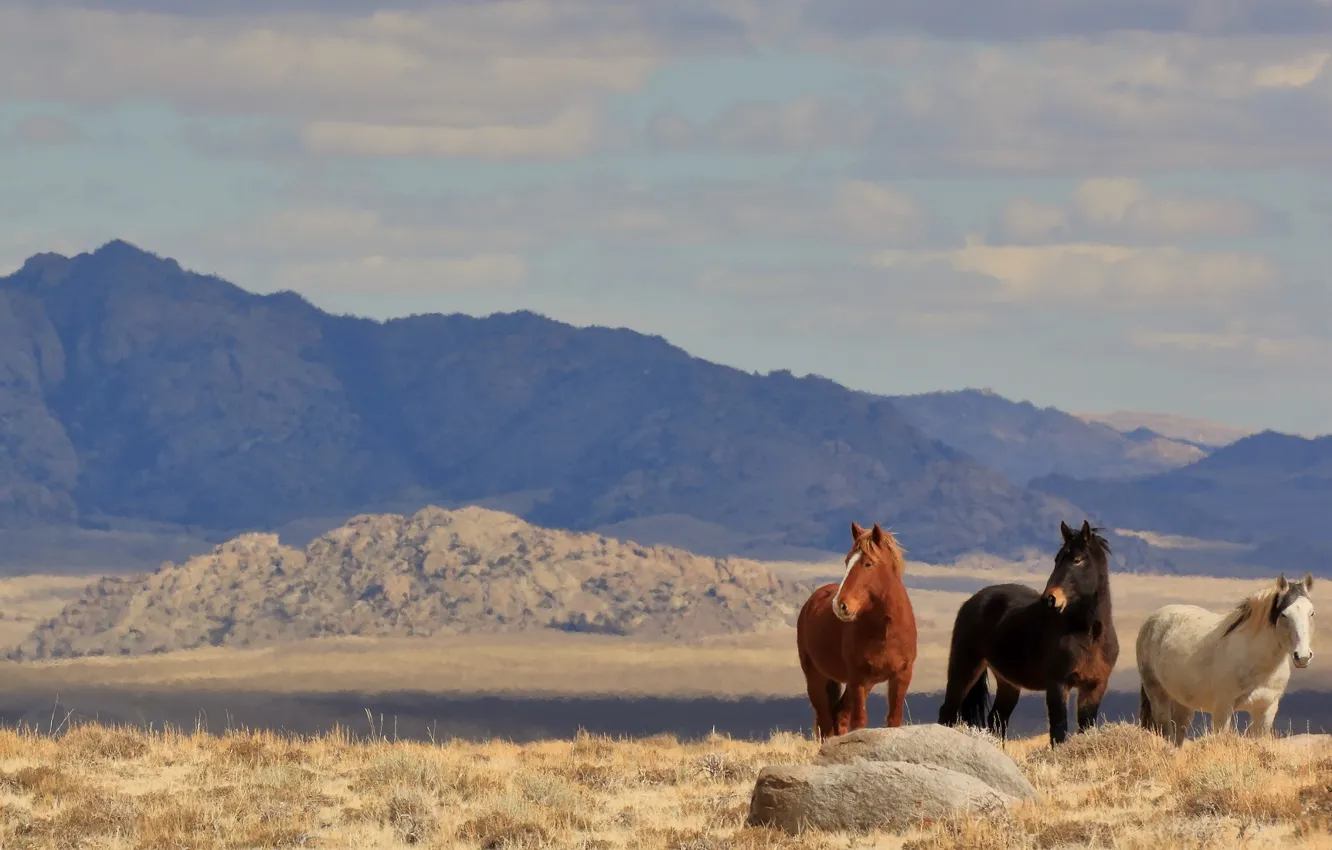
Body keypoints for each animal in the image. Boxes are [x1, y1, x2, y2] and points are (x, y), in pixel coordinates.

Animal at [795, 521, 917, 740]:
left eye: (868, 564)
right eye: (847, 561)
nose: (840, 605)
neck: (885, 631)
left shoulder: (902, 675)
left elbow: (894, 720)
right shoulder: (857, 677)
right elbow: (859, 722)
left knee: (839, 716)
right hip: (817, 678)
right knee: (826, 722)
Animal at [937, 519, 1119, 747]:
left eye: (1077, 560)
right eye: (1057, 559)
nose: (1049, 598)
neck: (1089, 636)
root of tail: (970, 602)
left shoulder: (1094, 687)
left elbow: (1085, 727)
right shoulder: (1058, 685)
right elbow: (1058, 730)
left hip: (1007, 682)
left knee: (997, 719)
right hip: (965, 668)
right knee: (948, 711)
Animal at [1137, 572, 1315, 744]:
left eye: (1311, 612)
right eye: (1284, 614)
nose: (1303, 656)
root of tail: (1152, 620)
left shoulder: (1266, 709)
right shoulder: (1223, 707)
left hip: (1182, 702)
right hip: (1157, 694)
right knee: (1165, 731)